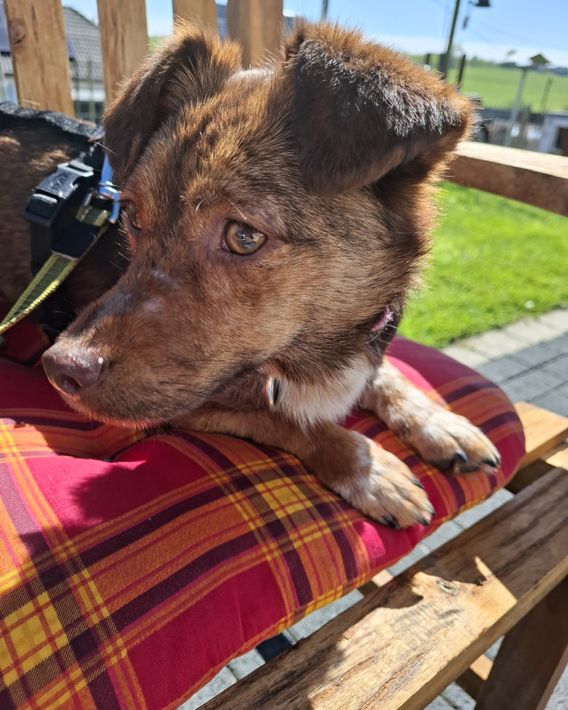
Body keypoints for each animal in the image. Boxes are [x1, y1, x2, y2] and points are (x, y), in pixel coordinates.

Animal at [29, 22, 499, 528]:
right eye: (132, 217)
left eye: (244, 236)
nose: (59, 369)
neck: (314, 352)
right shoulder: (196, 403)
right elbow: (293, 421)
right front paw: (370, 469)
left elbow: (385, 375)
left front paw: (439, 422)